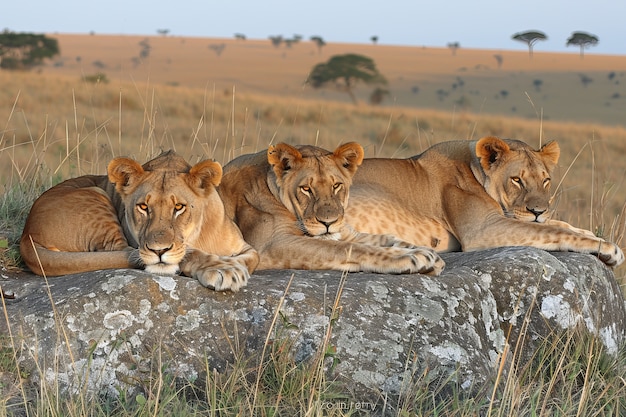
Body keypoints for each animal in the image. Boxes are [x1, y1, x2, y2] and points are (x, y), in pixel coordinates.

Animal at [18, 150, 258, 290]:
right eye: (143, 207)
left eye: (178, 207)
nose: (158, 251)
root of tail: (26, 235)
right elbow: (190, 253)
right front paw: (222, 269)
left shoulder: (247, 248)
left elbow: (250, 259)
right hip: (97, 193)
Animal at [218, 141, 444, 274]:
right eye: (306, 189)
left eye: (336, 186)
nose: (329, 222)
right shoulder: (271, 244)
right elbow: (346, 248)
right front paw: (409, 257)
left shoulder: (348, 232)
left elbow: (387, 239)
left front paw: (428, 255)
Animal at [344, 136, 620, 266]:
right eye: (517, 180)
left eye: (546, 181)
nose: (538, 211)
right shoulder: (483, 229)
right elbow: (551, 231)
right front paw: (608, 248)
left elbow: (557, 225)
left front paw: (591, 234)